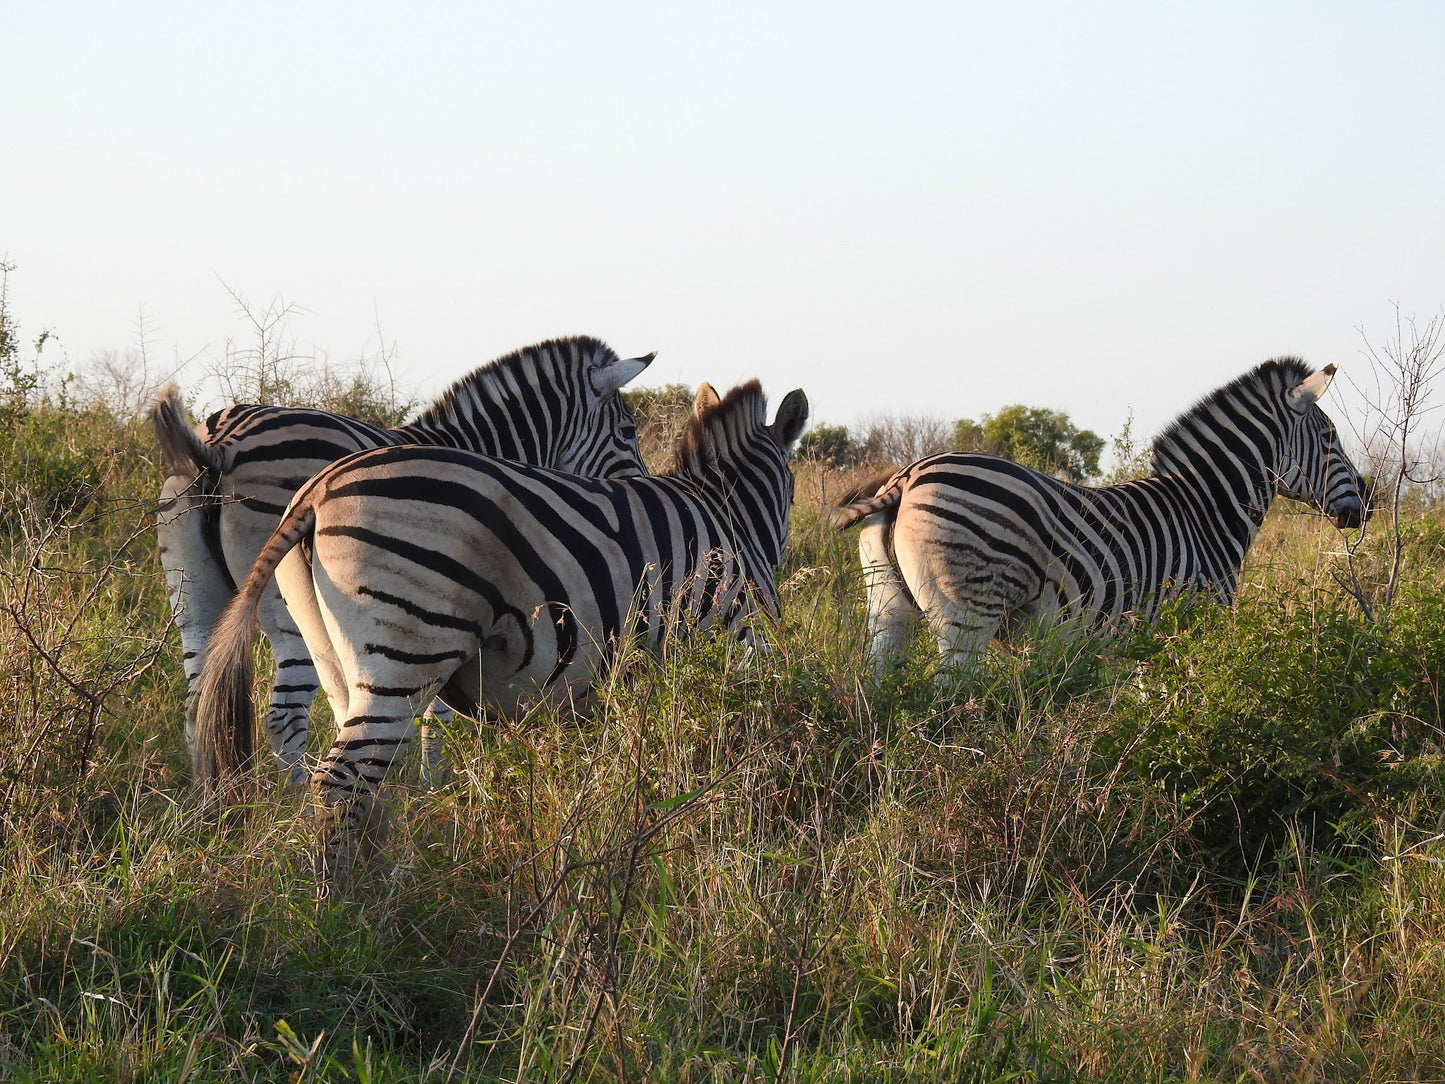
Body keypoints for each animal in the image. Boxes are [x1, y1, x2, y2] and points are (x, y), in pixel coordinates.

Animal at [145, 335, 650, 786]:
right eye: (628, 432)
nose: (640, 490)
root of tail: (219, 443)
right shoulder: (446, 598)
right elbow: (436, 713)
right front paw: (431, 790)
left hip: (194, 597)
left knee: (198, 705)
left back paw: (215, 813)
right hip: (288, 606)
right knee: (284, 715)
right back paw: (287, 805)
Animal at [189, 378, 814, 878]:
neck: (730, 516)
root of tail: (317, 489)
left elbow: (612, 770)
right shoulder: (733, 646)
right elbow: (719, 760)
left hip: (334, 653)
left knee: (356, 775)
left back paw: (374, 877)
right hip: (408, 646)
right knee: (341, 777)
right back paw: (341, 903)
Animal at [832, 361, 1369, 676]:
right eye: (1330, 438)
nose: (1364, 505)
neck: (1206, 512)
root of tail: (907, 475)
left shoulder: (1128, 641)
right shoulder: (1191, 621)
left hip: (887, 608)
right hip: (967, 613)